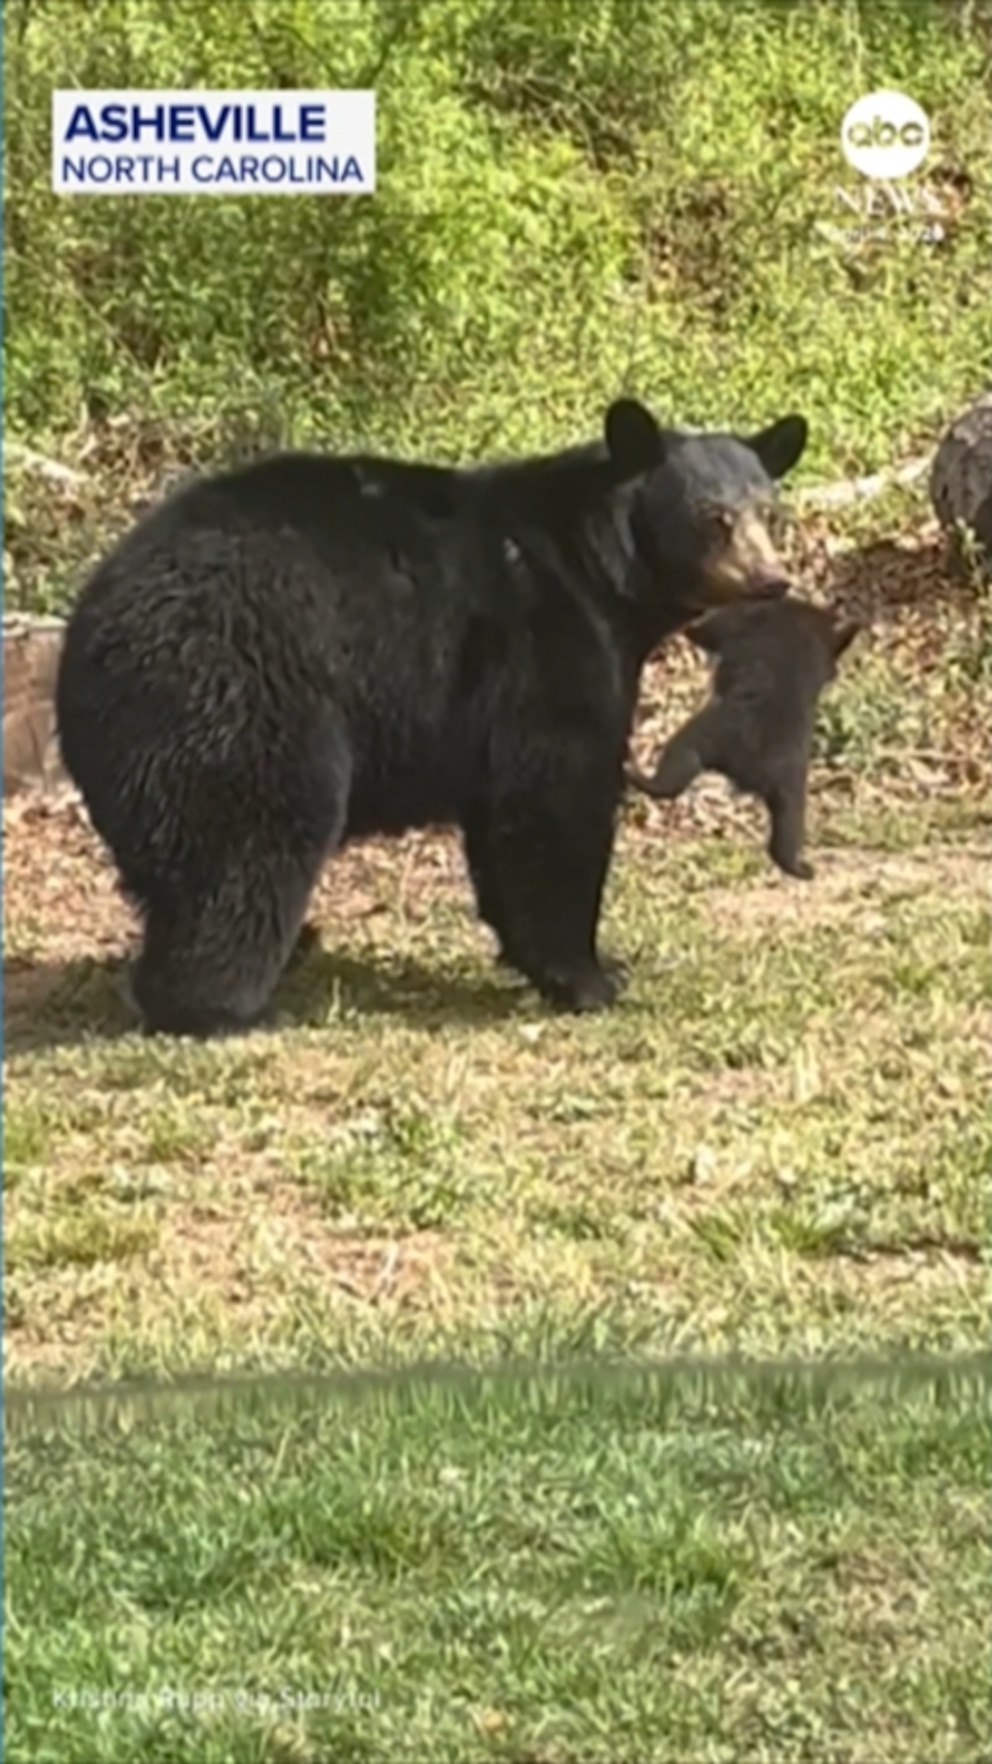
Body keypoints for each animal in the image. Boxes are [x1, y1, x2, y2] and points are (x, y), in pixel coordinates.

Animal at [54, 396, 808, 1035]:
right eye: (714, 516)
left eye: (768, 510)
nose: (772, 580)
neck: (600, 570)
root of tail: (87, 637)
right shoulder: (543, 642)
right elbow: (554, 798)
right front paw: (591, 977)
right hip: (236, 699)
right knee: (246, 848)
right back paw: (221, 1005)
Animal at [626, 596, 863, 879]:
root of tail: (749, 771)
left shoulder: (736, 621)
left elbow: (710, 630)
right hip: (792, 789)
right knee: (787, 832)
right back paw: (799, 867)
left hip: (697, 739)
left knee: (671, 775)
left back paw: (635, 771)